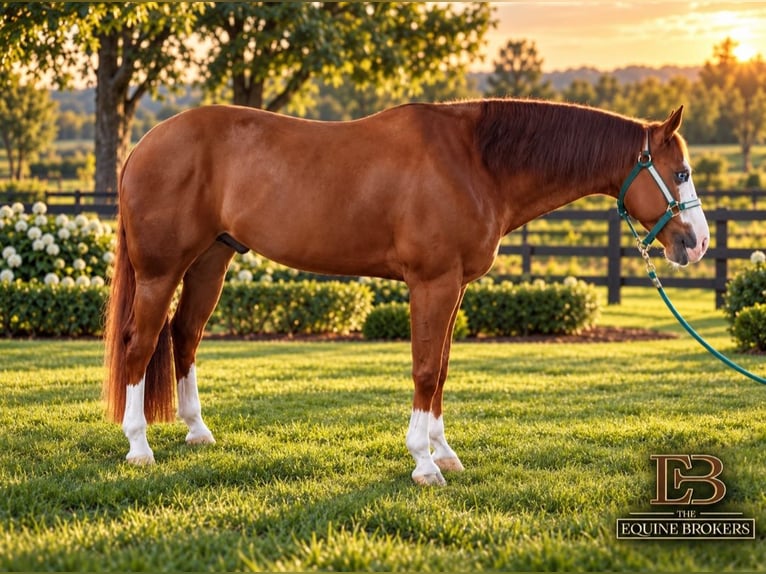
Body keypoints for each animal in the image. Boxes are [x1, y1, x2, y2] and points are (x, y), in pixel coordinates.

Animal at [104, 98, 710, 486]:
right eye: (680, 173)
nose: (698, 243)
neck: (474, 161)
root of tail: (145, 146)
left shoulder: (454, 288)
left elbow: (440, 369)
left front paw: (445, 453)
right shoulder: (431, 283)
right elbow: (423, 369)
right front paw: (422, 463)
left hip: (212, 259)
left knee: (185, 335)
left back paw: (197, 432)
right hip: (160, 271)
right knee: (140, 344)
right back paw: (139, 447)